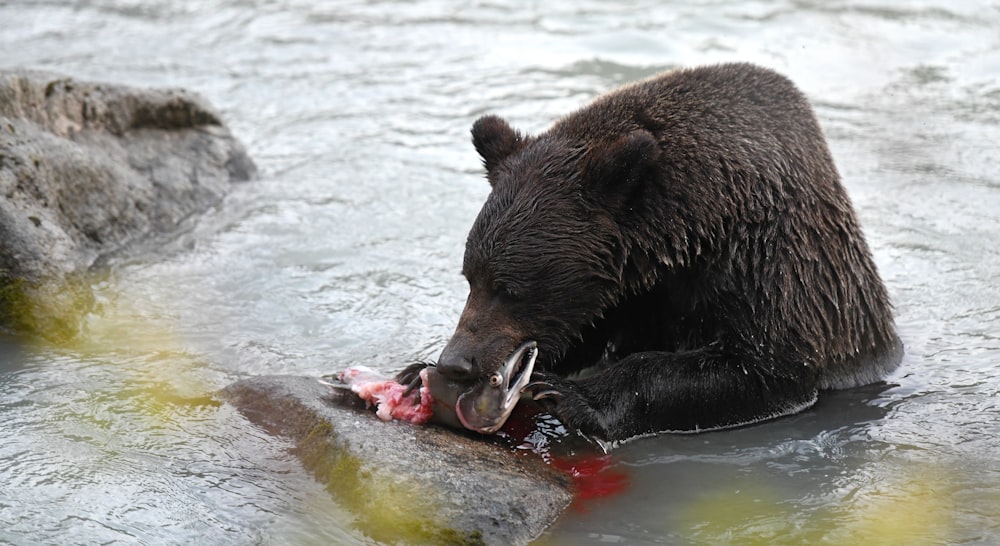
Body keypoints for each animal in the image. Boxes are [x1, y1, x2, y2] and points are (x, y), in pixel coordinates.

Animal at [400, 62, 908, 442]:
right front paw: (414, 370)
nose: (457, 360)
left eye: (510, 288)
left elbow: (759, 367)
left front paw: (572, 396)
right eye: (470, 276)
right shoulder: (630, 289)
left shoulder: (769, 266)